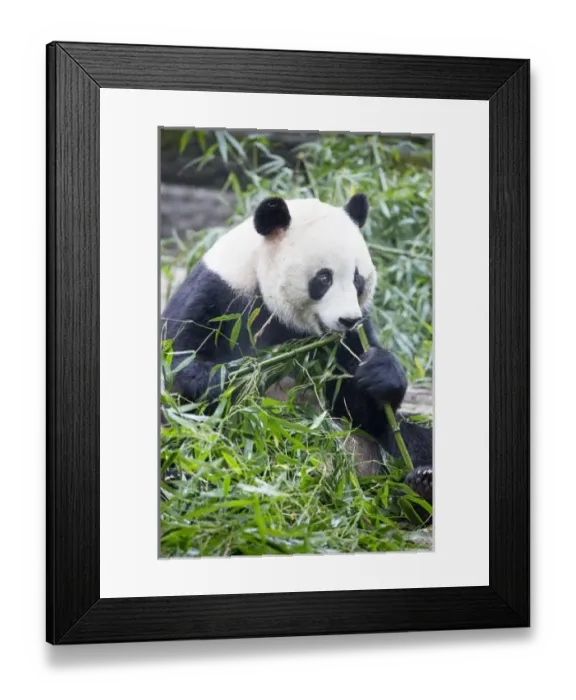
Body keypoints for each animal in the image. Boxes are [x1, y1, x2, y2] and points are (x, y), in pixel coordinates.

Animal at [161, 193, 433, 504]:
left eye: (357, 279)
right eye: (324, 278)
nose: (348, 320)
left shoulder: (348, 340)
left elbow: (359, 408)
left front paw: (379, 371)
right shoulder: (217, 294)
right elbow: (177, 365)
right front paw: (229, 379)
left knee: (411, 439)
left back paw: (420, 482)